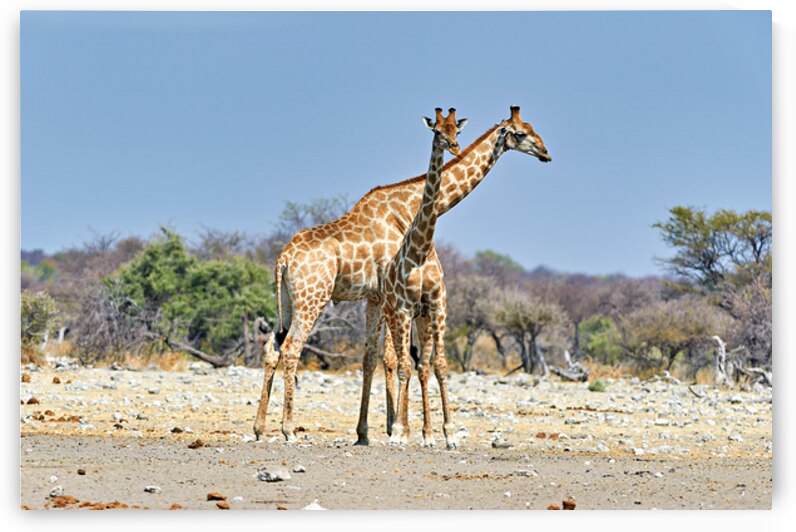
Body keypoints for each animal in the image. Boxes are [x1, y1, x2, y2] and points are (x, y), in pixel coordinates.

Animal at [254, 106, 551, 444]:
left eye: (533, 127)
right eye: (521, 133)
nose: (545, 153)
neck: (407, 207)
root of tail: (283, 259)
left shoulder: (375, 298)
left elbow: (375, 358)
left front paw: (370, 431)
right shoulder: (392, 297)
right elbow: (396, 359)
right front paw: (399, 427)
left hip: (287, 301)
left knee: (272, 348)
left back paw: (260, 427)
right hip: (312, 299)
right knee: (292, 349)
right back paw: (289, 428)